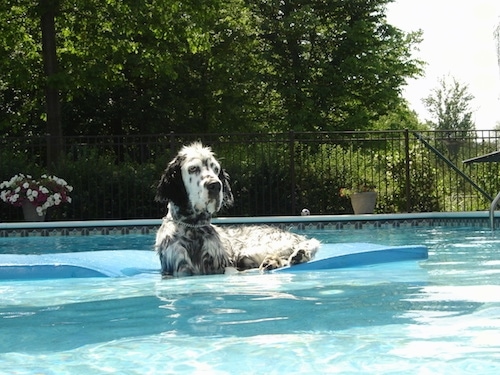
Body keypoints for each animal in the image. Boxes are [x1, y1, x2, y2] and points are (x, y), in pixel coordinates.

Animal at [153, 142, 320, 278]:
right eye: (193, 168)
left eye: (215, 169)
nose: (215, 185)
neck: (193, 228)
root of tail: (296, 236)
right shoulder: (180, 270)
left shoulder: (225, 267)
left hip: (250, 251)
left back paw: (293, 257)